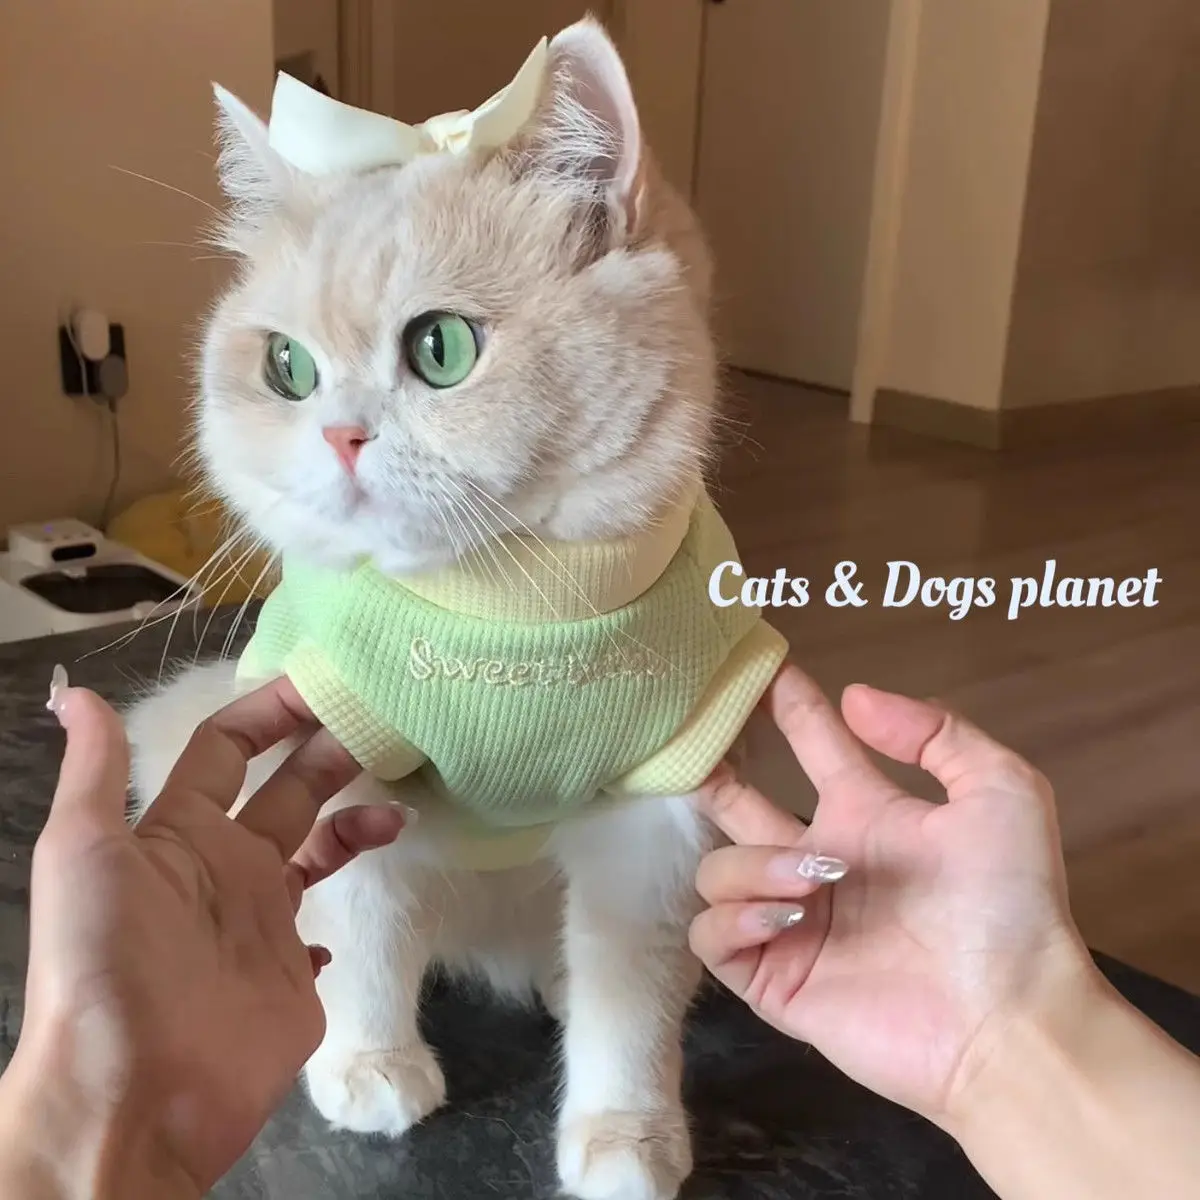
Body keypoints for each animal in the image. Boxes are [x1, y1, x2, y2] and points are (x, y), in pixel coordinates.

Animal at [125, 18, 770, 1200]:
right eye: (286, 368)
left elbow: (630, 1000)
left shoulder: (654, 821)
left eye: (441, 349)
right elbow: (362, 938)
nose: (339, 435)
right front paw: (369, 1067)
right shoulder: (335, 765)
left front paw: (626, 1137)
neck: (511, 612)